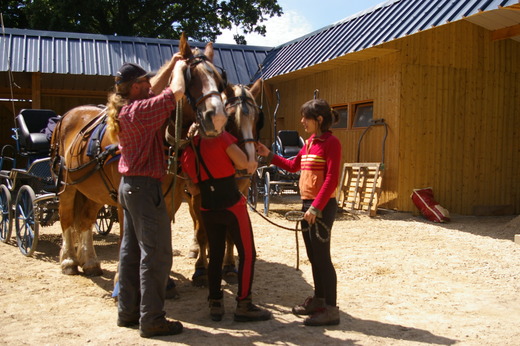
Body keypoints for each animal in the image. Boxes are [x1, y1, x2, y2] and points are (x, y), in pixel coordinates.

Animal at [50, 35, 228, 278]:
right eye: (190, 77)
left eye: (219, 80)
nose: (217, 118)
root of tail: (66, 116)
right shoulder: (123, 201)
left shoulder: (170, 199)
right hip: (67, 186)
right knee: (66, 216)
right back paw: (68, 260)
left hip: (93, 189)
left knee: (86, 219)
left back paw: (90, 261)